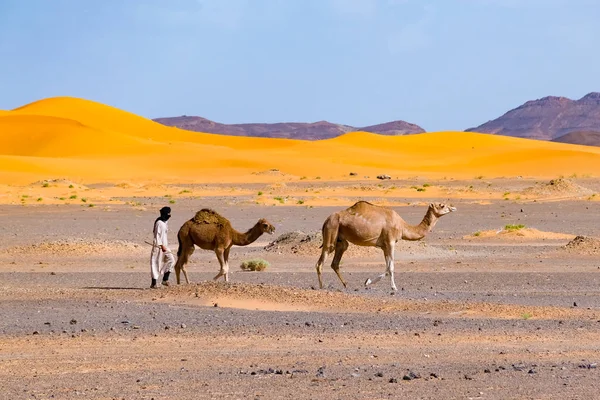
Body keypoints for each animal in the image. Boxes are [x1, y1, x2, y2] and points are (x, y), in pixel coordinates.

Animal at [314, 200, 454, 290]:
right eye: (442, 205)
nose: (453, 208)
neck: (402, 226)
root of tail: (326, 220)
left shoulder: (384, 246)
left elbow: (387, 267)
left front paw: (367, 282)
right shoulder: (390, 241)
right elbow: (391, 267)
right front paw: (394, 288)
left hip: (341, 240)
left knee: (335, 262)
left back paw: (346, 284)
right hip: (331, 230)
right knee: (321, 261)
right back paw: (322, 287)